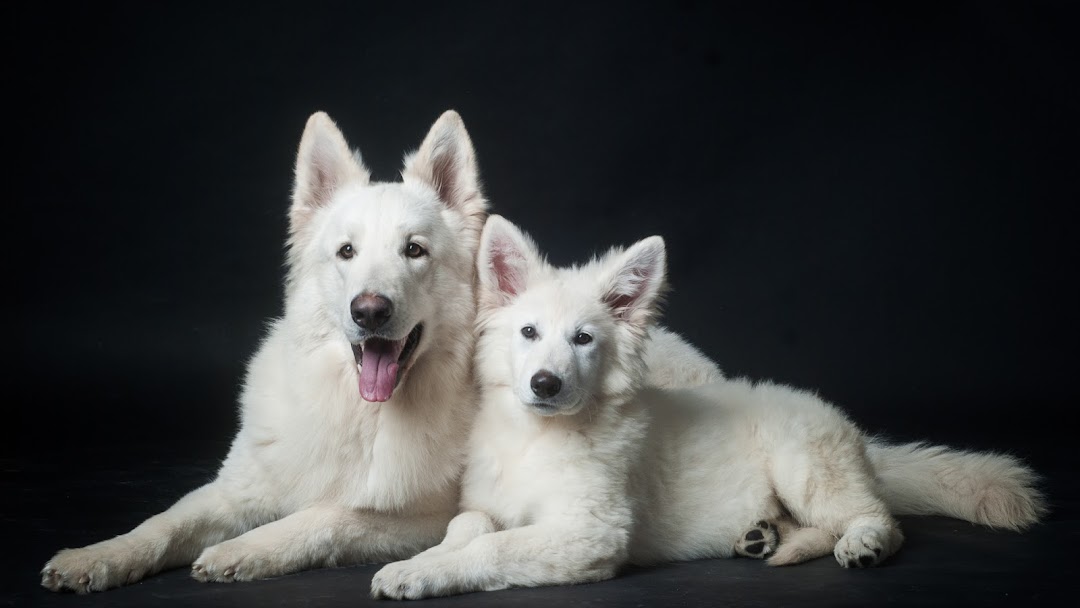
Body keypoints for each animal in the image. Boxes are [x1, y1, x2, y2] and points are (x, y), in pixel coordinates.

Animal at [42, 110, 490, 596]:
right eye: (346, 252)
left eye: (414, 250)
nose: (369, 311)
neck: (358, 412)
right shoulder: (235, 489)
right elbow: (160, 524)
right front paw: (98, 556)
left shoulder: (425, 519)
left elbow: (328, 515)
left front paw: (242, 550)